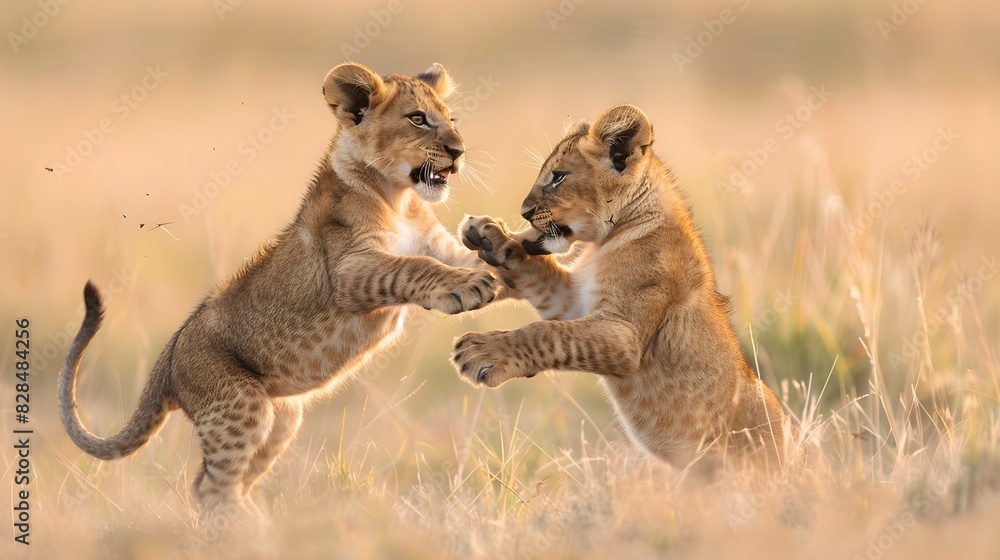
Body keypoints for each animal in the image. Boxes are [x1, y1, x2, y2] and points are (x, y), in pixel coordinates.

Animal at [59, 62, 504, 515]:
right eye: (417, 119)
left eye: (452, 120)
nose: (459, 151)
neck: (399, 199)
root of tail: (169, 354)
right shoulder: (348, 272)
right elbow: (413, 266)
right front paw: (468, 287)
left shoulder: (439, 245)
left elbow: (468, 261)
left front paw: (503, 248)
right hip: (239, 407)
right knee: (210, 487)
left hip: (282, 419)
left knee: (227, 483)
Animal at [451, 104, 785, 469]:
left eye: (558, 177)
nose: (524, 212)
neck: (607, 240)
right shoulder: (573, 301)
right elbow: (538, 275)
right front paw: (490, 237)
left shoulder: (625, 334)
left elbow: (546, 333)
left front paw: (480, 353)